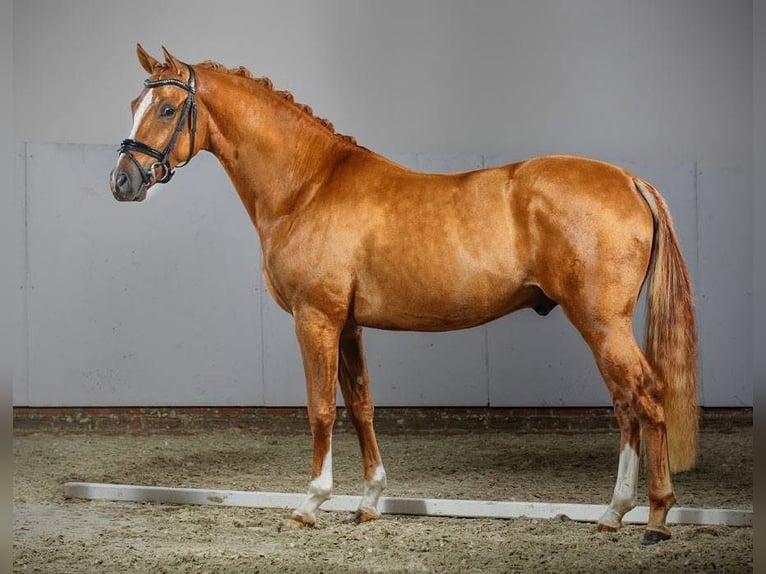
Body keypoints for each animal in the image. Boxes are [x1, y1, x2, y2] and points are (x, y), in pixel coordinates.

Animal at [110, 45, 699, 545]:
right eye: (135, 104)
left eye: (167, 108)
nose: (123, 182)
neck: (308, 186)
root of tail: (629, 180)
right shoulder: (348, 324)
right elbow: (361, 406)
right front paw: (369, 501)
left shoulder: (315, 318)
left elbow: (320, 408)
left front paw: (311, 503)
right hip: (603, 325)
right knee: (626, 404)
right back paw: (614, 513)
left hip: (601, 322)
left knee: (646, 397)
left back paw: (656, 517)